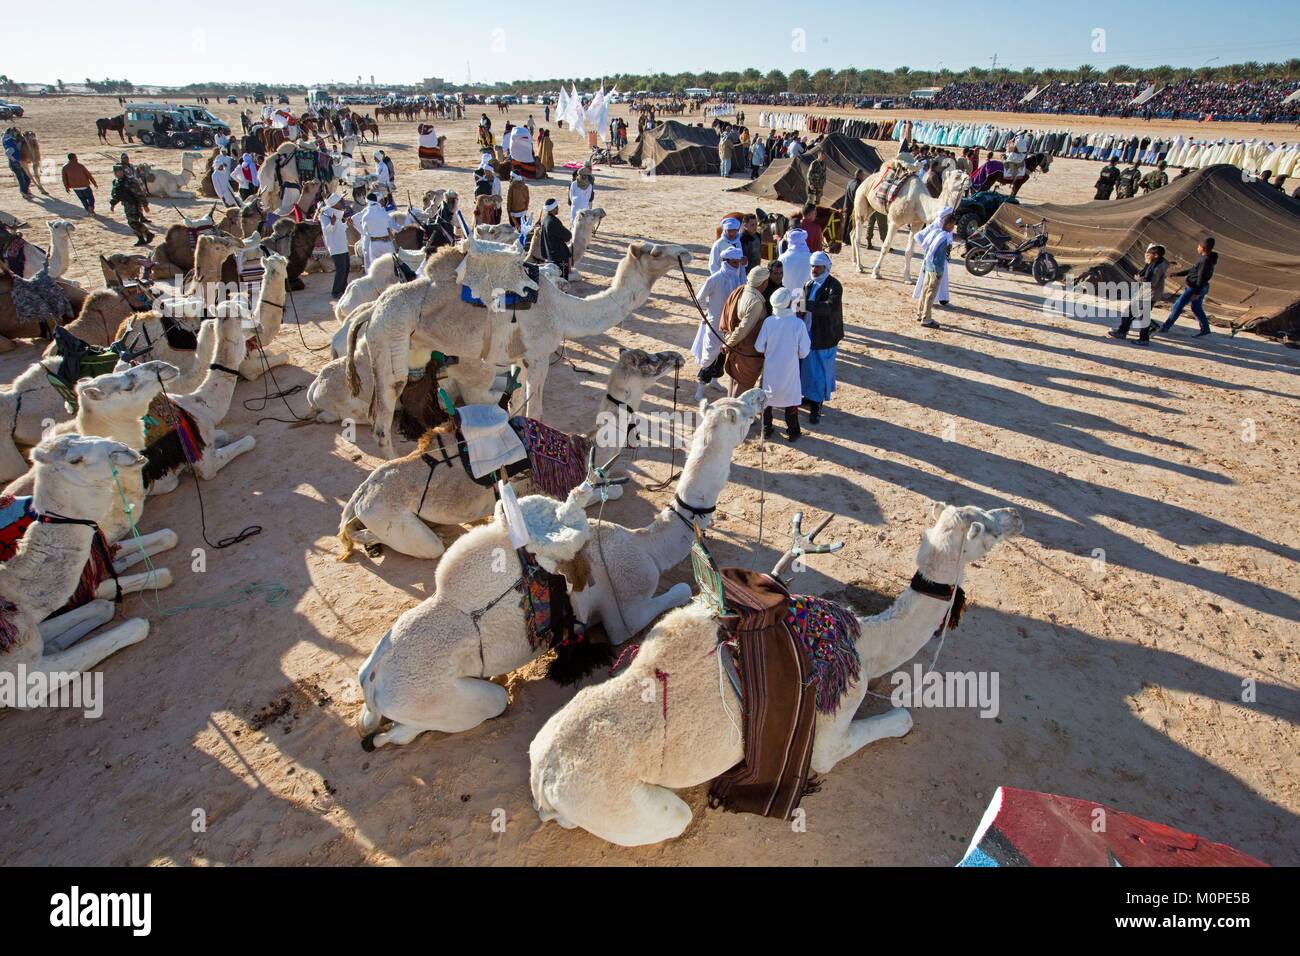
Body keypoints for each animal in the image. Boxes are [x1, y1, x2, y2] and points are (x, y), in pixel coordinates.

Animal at [335, 348, 686, 561]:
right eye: (651, 360)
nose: (677, 356)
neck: (583, 448)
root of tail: (363, 494)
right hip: (391, 517)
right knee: (413, 541)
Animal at [345, 238, 691, 457]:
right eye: (655, 252)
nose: (685, 253)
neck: (565, 310)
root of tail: (372, 310)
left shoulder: (521, 359)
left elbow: (514, 406)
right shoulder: (539, 356)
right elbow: (535, 410)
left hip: (416, 354)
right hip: (389, 343)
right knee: (382, 419)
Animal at [351, 390, 764, 749]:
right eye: (741, 414)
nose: (759, 395)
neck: (649, 545)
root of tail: (373, 681)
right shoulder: (626, 610)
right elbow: (673, 595)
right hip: (439, 699)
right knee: (435, 720)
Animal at [527, 502, 1024, 842]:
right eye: (985, 527)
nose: (1015, 516)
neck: (867, 642)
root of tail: (544, 779)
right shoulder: (834, 720)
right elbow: (887, 725)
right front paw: (901, 719)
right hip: (618, 804)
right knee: (668, 818)